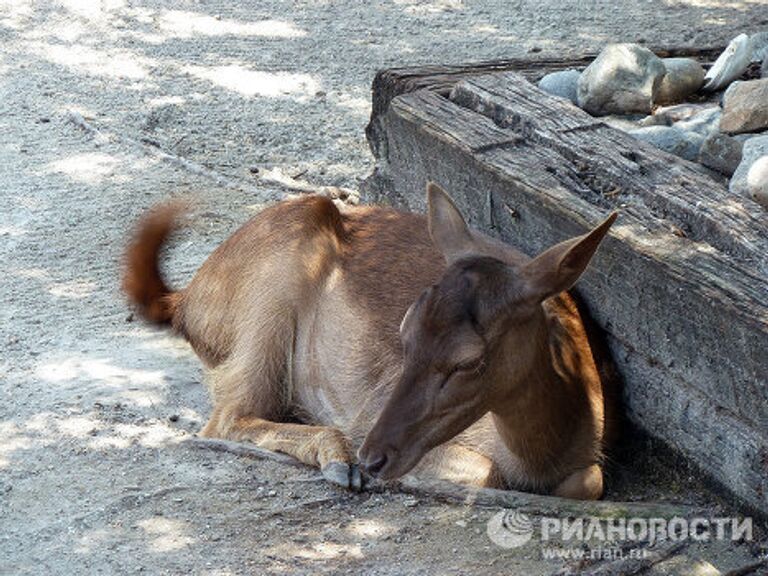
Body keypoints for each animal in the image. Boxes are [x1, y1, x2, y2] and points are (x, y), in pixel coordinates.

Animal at [126, 183, 616, 500]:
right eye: (403, 332)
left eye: (468, 361)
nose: (375, 455)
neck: (538, 457)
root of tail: (186, 299)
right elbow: (487, 472)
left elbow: (590, 481)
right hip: (266, 304)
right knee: (226, 417)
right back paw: (338, 458)